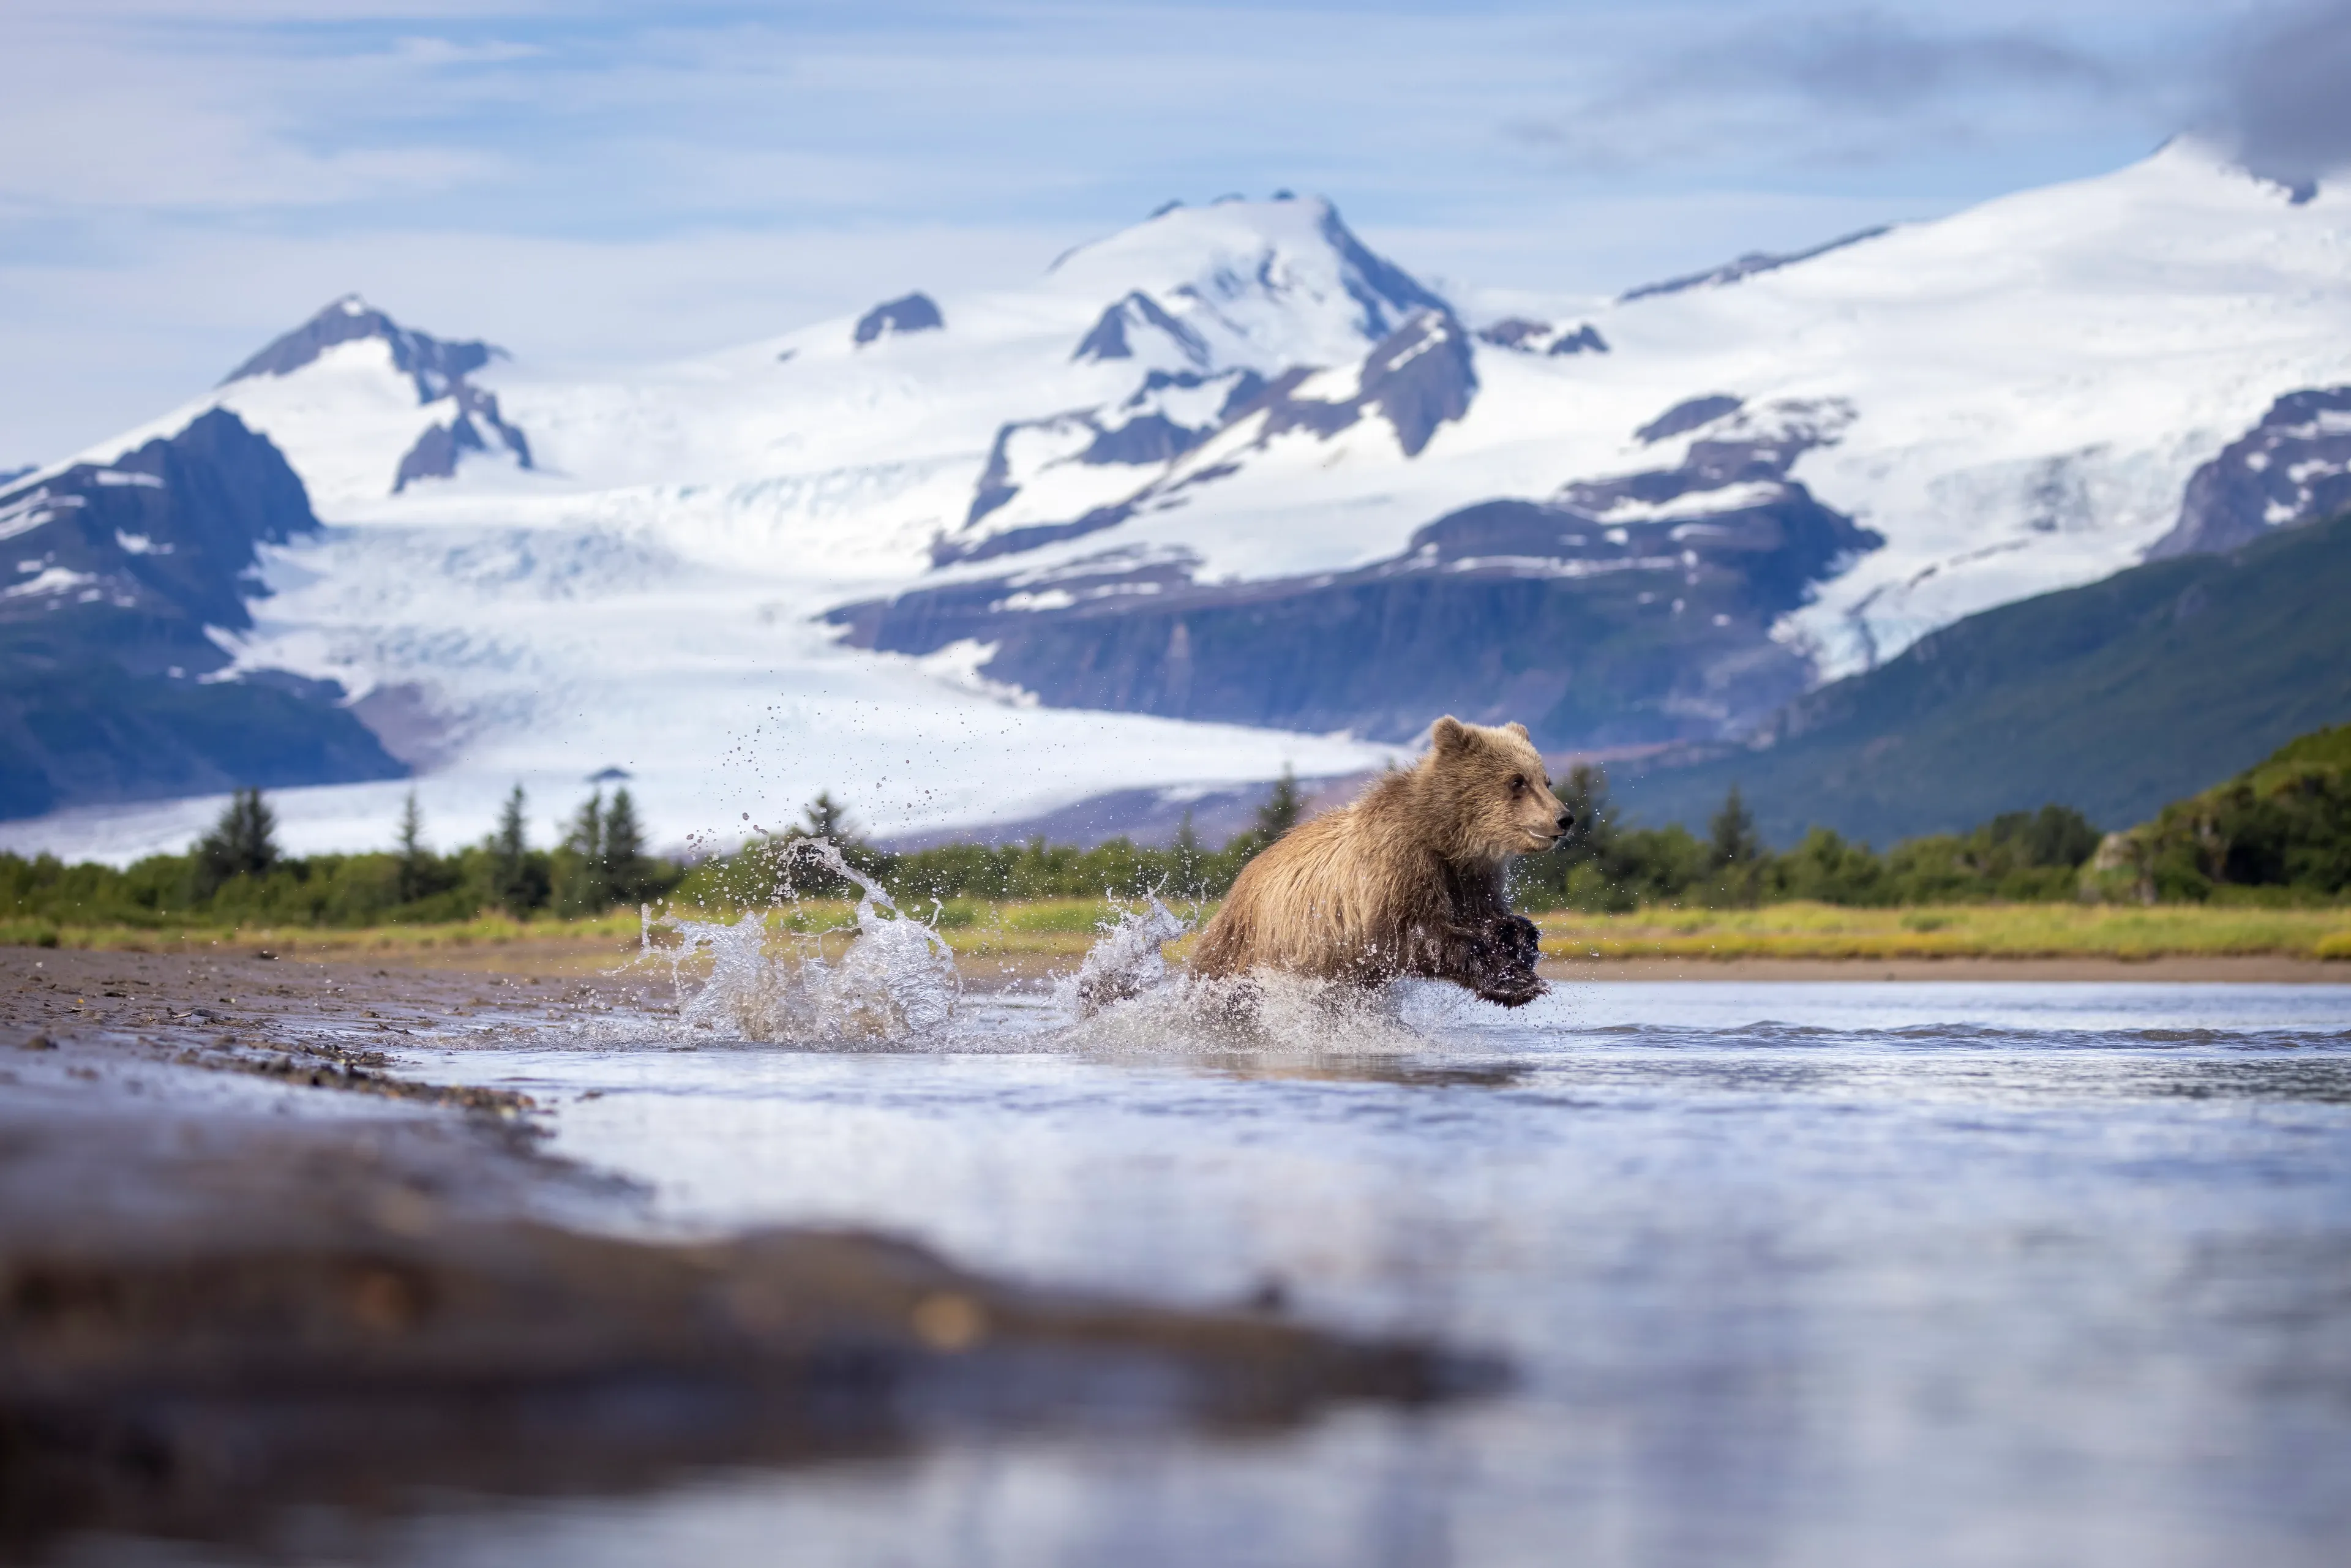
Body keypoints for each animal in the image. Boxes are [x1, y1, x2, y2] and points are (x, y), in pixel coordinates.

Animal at [1188, 716, 1572, 1007]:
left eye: (1546, 780)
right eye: (1517, 781)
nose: (1564, 818)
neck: (1445, 838)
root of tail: (1239, 882)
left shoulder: (1473, 876)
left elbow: (1490, 916)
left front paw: (1518, 941)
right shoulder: (1396, 866)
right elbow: (1413, 936)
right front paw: (1516, 983)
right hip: (1245, 946)